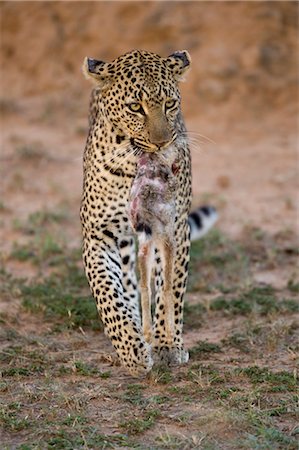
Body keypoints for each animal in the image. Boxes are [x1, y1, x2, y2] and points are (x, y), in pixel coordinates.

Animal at [82, 48, 218, 376]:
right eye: (135, 107)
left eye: (169, 104)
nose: (162, 142)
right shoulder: (98, 234)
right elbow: (109, 295)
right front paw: (131, 350)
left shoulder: (174, 228)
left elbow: (171, 288)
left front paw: (167, 344)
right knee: (130, 283)